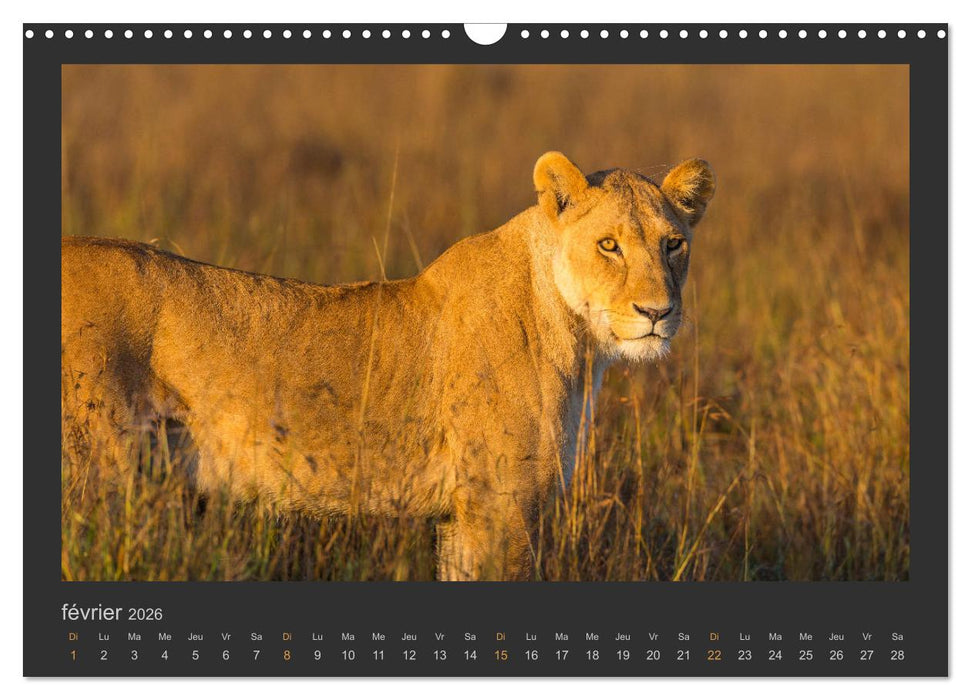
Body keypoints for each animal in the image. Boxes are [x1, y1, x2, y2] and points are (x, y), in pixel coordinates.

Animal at [61, 151, 715, 581]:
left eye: (673, 244)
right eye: (609, 245)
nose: (658, 312)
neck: (578, 339)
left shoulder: (461, 515)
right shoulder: (500, 503)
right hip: (94, 469)